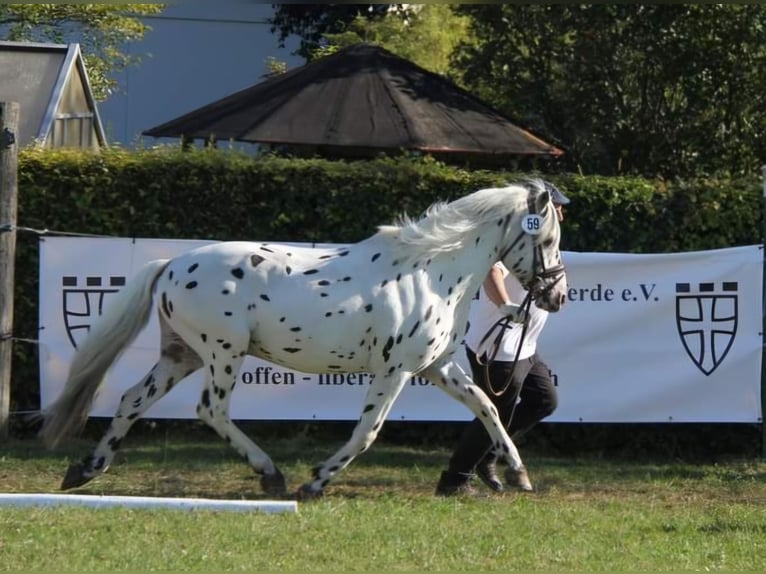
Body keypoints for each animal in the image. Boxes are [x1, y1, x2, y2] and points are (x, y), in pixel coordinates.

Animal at [42, 179, 568, 500]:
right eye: (547, 241)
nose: (558, 295)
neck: (433, 273)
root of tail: (171, 264)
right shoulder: (394, 370)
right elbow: (367, 431)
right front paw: (315, 482)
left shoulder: (436, 366)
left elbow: (487, 406)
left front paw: (518, 474)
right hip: (222, 352)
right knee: (210, 410)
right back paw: (271, 475)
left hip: (182, 354)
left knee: (132, 400)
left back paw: (85, 470)